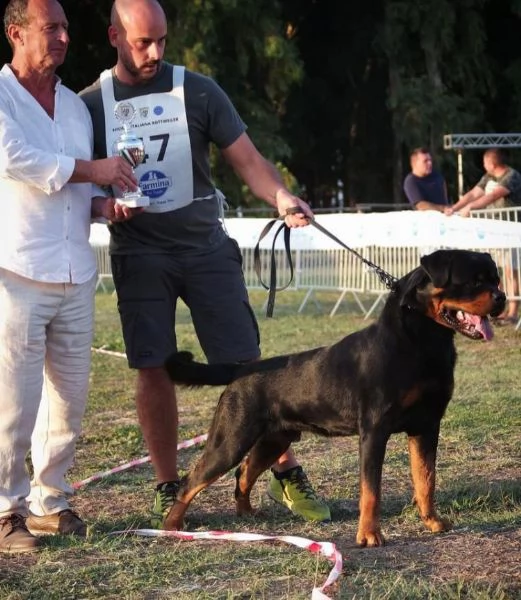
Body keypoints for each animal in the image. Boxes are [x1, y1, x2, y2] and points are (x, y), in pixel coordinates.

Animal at [162, 250, 504, 548]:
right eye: (473, 282)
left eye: (496, 279)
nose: (501, 298)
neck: (420, 341)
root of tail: (242, 369)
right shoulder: (374, 431)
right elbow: (371, 490)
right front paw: (369, 536)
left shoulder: (427, 426)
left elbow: (426, 479)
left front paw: (432, 522)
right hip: (231, 439)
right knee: (191, 480)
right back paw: (172, 526)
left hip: (274, 440)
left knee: (243, 472)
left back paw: (245, 514)